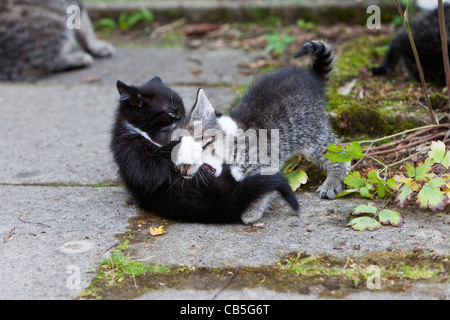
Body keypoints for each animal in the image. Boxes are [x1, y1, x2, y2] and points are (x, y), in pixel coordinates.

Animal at [110, 77, 298, 222]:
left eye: (184, 111)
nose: (184, 120)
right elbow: (149, 174)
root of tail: (221, 204)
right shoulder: (131, 155)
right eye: (171, 114)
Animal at [175, 40, 348, 224]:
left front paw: (253, 210)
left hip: (312, 132)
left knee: (339, 153)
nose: (183, 171)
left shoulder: (266, 163)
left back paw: (333, 180)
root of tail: (310, 75)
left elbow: (266, 187)